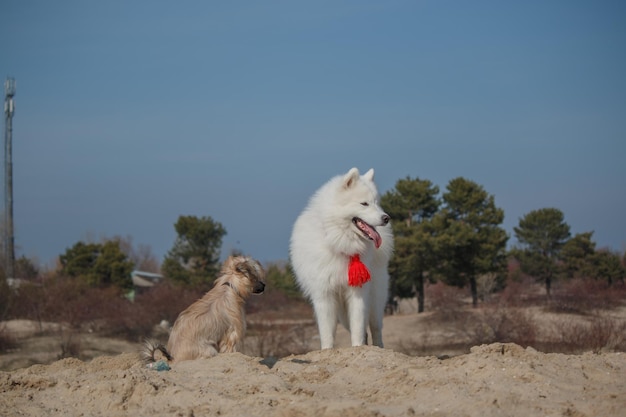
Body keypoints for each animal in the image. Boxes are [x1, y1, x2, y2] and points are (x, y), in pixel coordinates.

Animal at [288, 167, 390, 348]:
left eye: (376, 203)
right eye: (364, 204)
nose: (386, 218)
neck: (338, 242)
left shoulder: (358, 292)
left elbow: (358, 327)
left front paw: (357, 348)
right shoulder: (324, 294)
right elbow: (327, 332)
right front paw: (328, 350)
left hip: (375, 300)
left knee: (375, 329)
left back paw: (378, 348)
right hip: (343, 314)